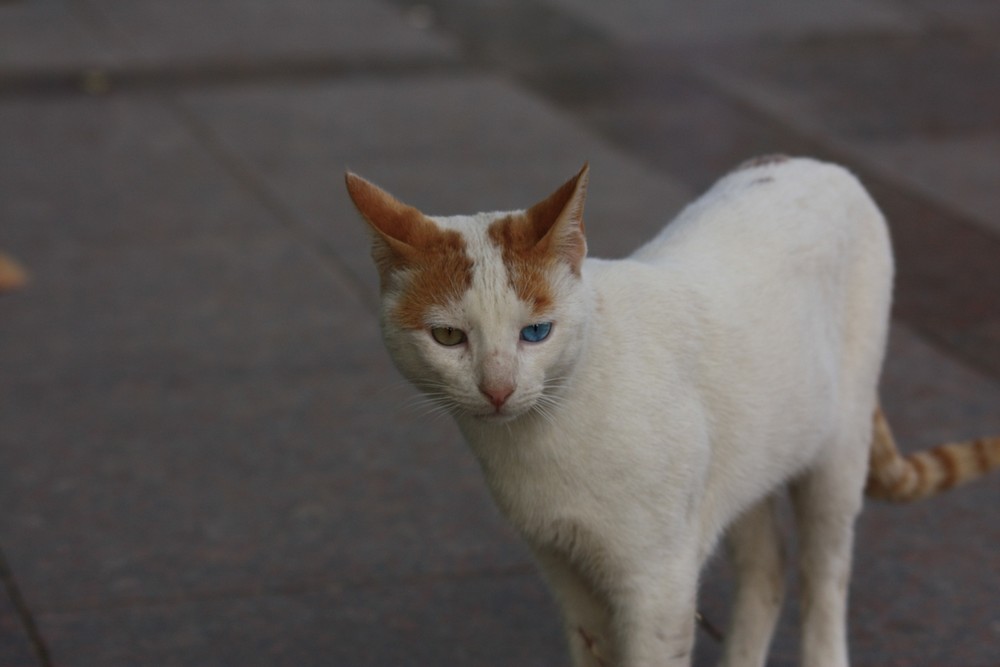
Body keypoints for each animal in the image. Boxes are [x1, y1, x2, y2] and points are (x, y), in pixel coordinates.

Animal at [346, 158, 1000, 667]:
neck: (540, 437)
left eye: (536, 332)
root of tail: (817, 163)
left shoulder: (656, 582)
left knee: (824, 584)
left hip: (836, 461)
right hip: (745, 462)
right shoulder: (565, 570)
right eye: (449, 337)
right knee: (768, 572)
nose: (498, 389)